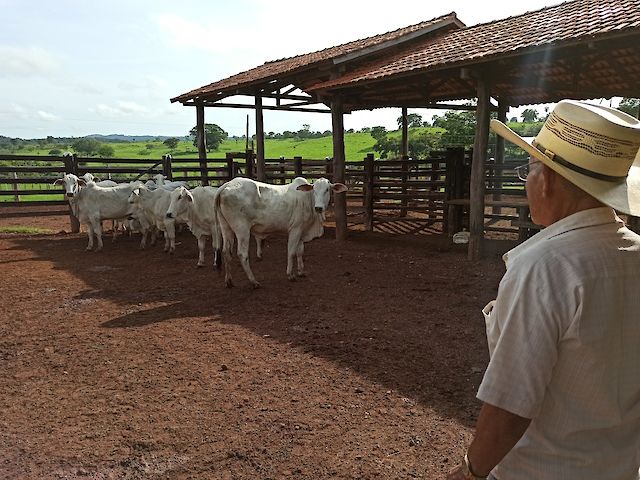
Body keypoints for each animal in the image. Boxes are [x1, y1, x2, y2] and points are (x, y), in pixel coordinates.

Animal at [215, 176, 347, 288]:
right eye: (314, 190)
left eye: (327, 189)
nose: (318, 208)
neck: (307, 200)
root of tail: (227, 184)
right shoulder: (295, 229)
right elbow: (292, 252)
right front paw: (290, 275)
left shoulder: (302, 231)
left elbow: (300, 252)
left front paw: (301, 272)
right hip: (242, 230)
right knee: (242, 254)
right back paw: (254, 281)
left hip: (226, 228)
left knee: (226, 252)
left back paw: (229, 281)